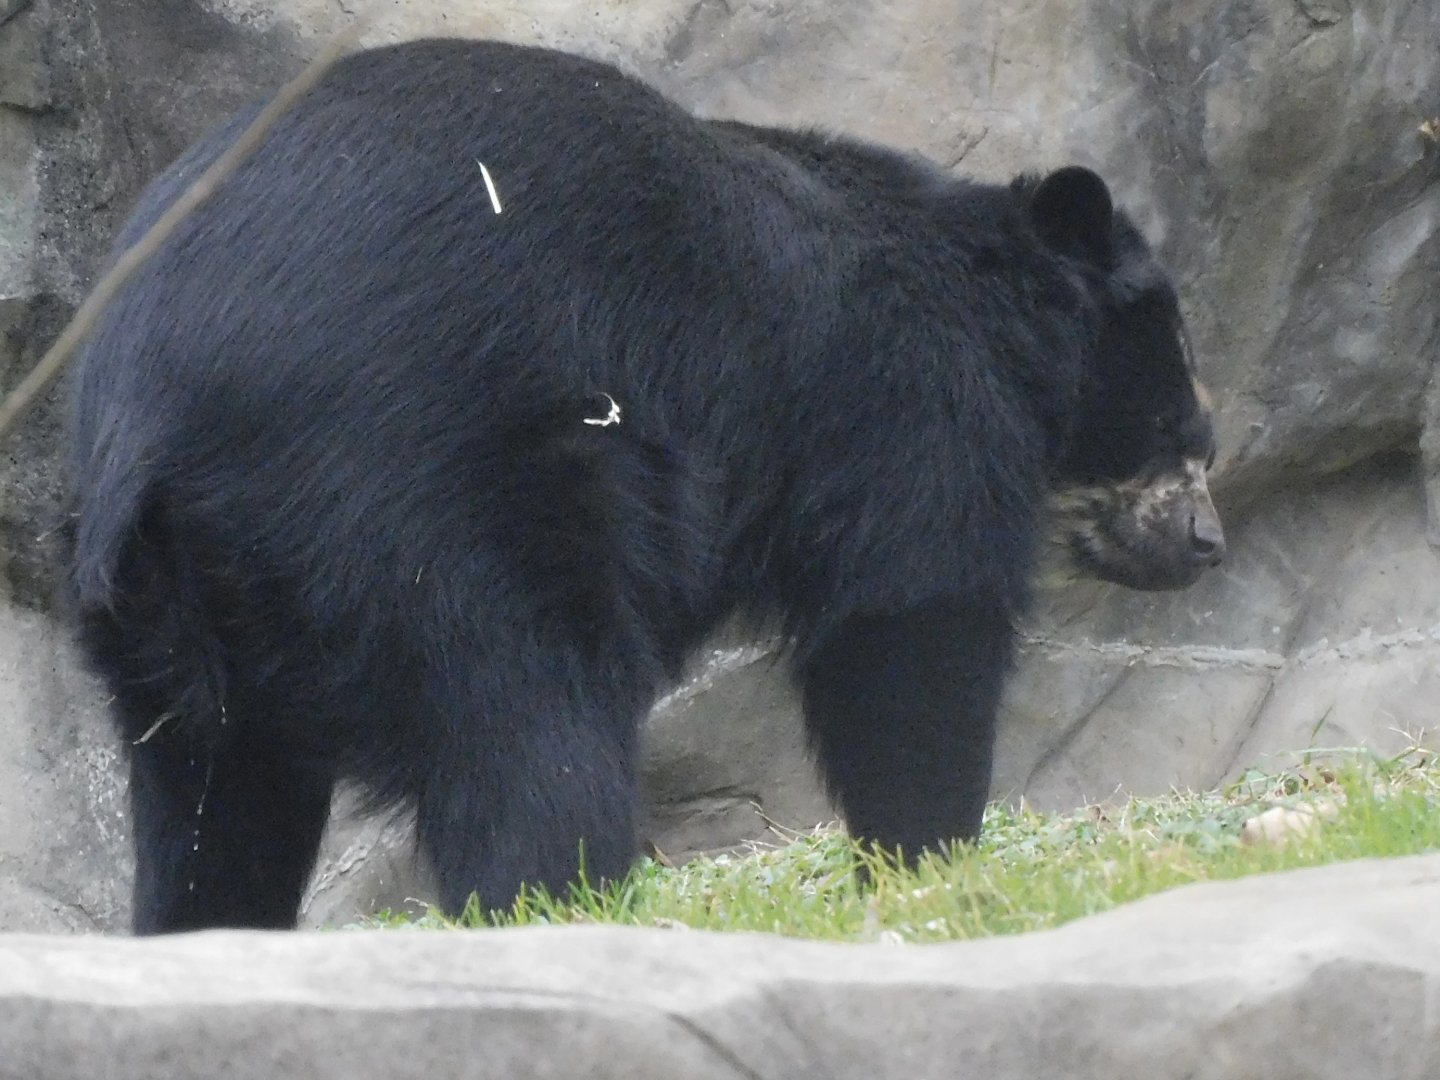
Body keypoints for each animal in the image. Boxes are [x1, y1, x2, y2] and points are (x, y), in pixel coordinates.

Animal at [67, 38, 1223, 933]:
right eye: (1178, 427)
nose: (1208, 545)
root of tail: (162, 409)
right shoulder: (913, 413)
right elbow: (912, 638)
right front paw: (927, 865)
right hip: (431, 502)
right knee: (533, 731)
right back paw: (570, 911)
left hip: (170, 610)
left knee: (214, 800)